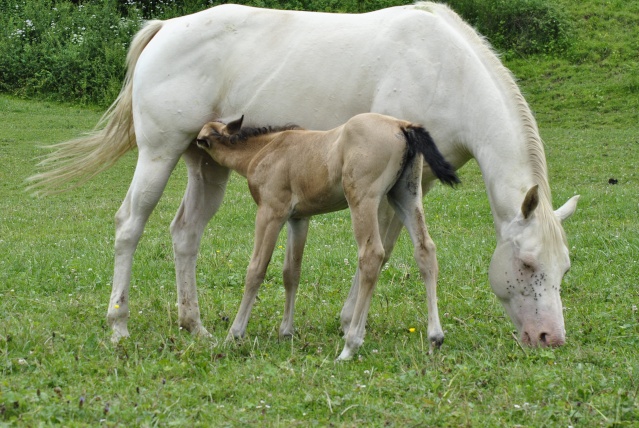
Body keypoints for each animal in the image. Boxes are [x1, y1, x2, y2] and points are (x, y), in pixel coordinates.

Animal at [196, 112, 460, 360]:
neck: (265, 149)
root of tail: (402, 125)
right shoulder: (298, 219)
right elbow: (291, 273)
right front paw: (286, 331)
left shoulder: (270, 213)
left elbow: (256, 270)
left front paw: (234, 333)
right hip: (405, 194)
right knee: (425, 249)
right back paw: (435, 336)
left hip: (362, 199)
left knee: (372, 255)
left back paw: (350, 345)